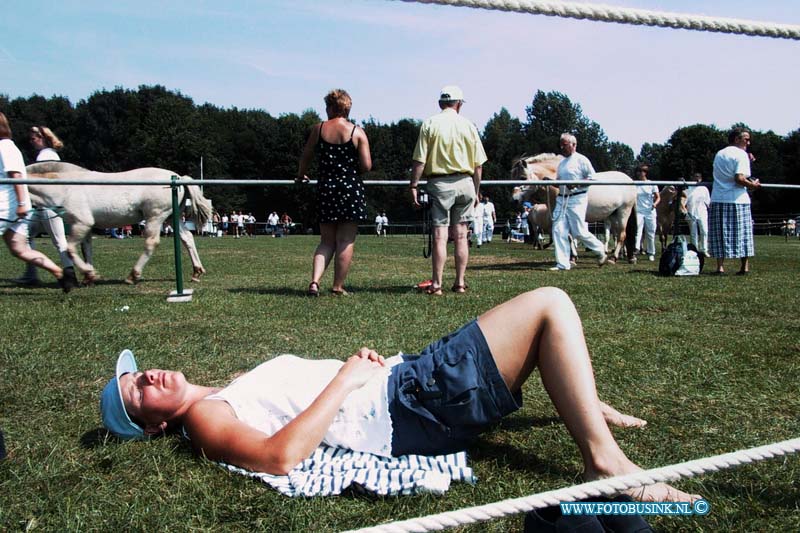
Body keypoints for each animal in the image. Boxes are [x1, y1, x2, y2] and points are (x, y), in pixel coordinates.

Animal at [26, 161, 212, 284]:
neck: (64, 187)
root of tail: (178, 177)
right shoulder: (85, 227)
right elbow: (86, 249)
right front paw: (88, 277)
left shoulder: (81, 223)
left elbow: (70, 248)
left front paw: (90, 274)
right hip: (171, 218)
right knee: (187, 238)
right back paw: (196, 272)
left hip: (155, 217)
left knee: (151, 242)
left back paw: (133, 275)